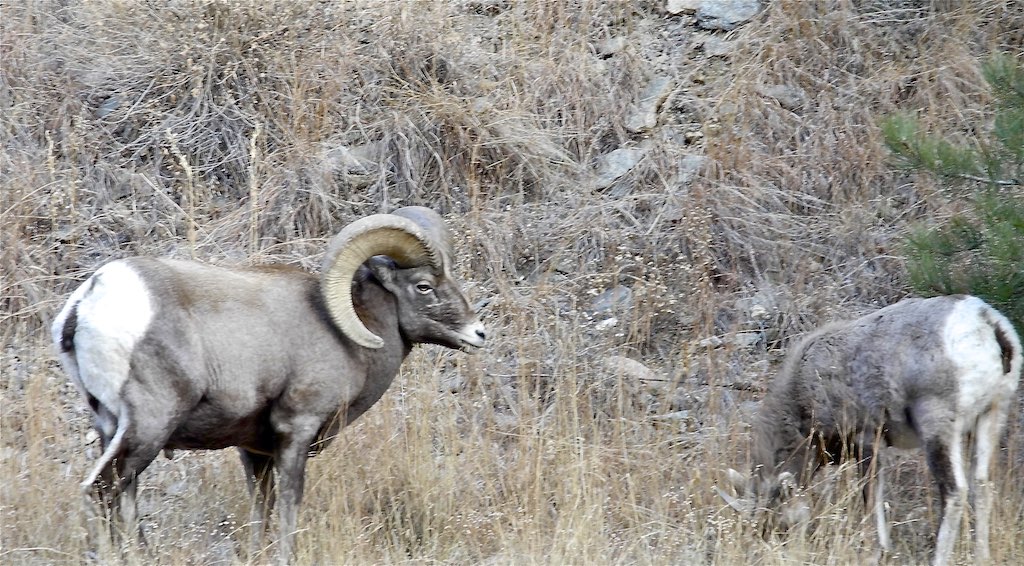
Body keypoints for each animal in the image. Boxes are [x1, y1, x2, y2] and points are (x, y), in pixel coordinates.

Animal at [51, 207, 487, 560]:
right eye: (423, 285)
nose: (478, 333)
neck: (348, 336)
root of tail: (89, 301)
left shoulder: (254, 449)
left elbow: (262, 508)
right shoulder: (296, 430)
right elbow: (289, 506)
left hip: (111, 427)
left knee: (124, 497)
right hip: (148, 427)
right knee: (103, 490)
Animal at [724, 294, 1019, 564]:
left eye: (779, 523)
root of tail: (985, 321)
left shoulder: (867, 440)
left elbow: (870, 497)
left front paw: (877, 551)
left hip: (939, 427)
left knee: (955, 491)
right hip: (991, 415)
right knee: (982, 485)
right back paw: (982, 557)